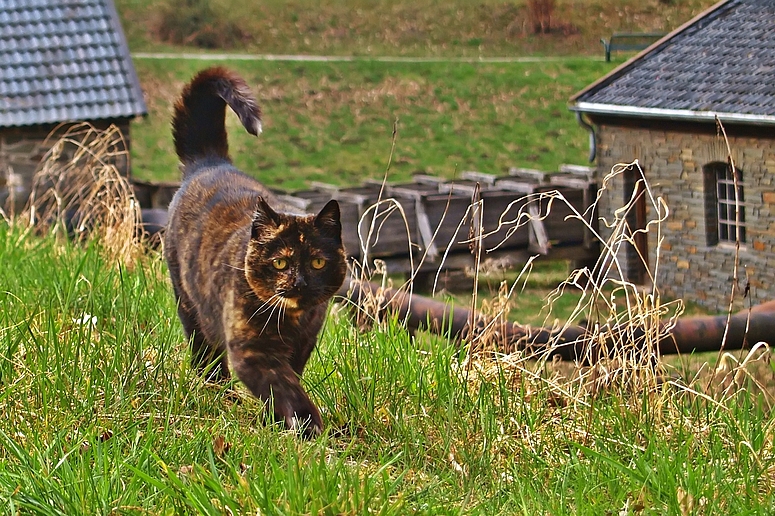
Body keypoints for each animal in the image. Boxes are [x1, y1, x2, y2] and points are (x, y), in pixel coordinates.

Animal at [165, 66, 348, 438]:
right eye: (280, 262)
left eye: (317, 261)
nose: (299, 283)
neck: (292, 321)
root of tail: (209, 161)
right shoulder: (251, 351)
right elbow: (284, 387)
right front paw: (306, 427)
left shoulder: (302, 346)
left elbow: (290, 380)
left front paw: (278, 423)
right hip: (190, 307)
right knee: (206, 356)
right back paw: (217, 393)